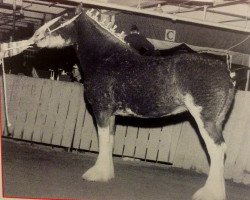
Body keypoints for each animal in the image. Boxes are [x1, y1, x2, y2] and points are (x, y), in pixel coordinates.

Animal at [32, 5, 234, 200]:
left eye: (63, 19)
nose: (36, 37)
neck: (106, 58)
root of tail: (226, 72)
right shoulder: (111, 115)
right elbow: (110, 141)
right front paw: (107, 173)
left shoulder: (101, 110)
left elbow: (103, 140)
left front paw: (96, 174)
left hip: (205, 120)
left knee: (217, 149)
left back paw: (209, 193)